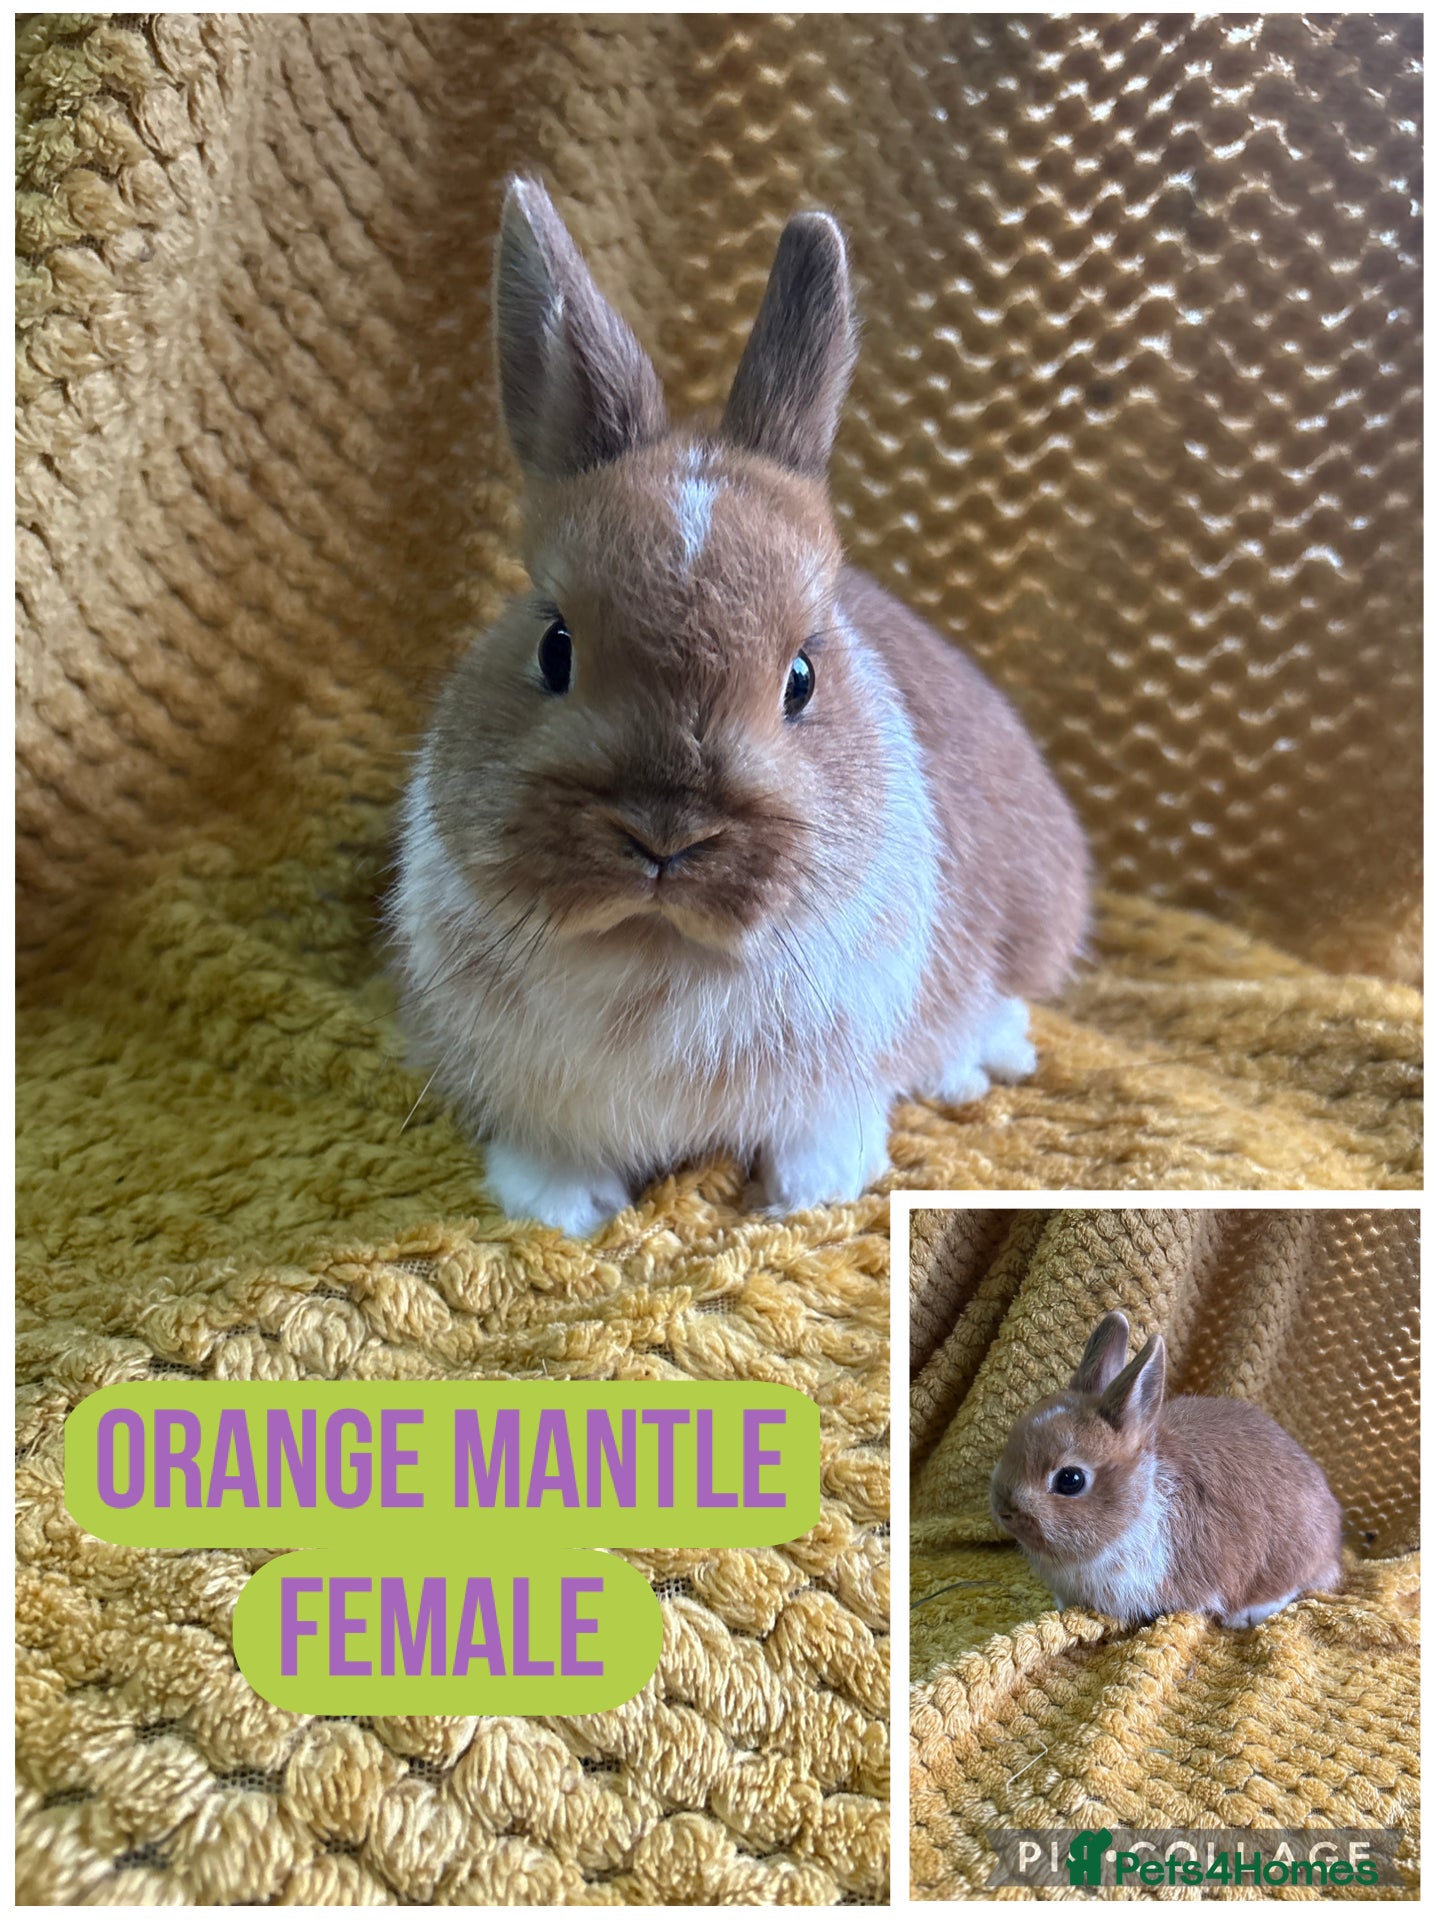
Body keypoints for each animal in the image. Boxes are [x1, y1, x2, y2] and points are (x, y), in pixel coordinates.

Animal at [388, 176, 1089, 1236]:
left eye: (802, 677)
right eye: (555, 648)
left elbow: (825, 1125)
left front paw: (808, 1193)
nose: (666, 834)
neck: (655, 950)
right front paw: (561, 1209)